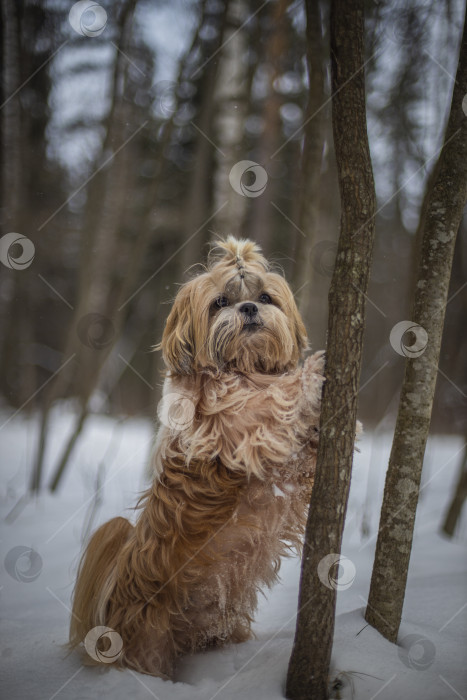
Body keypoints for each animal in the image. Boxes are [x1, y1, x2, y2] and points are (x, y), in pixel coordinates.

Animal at [70, 237, 326, 680]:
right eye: (220, 301)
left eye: (265, 297)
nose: (249, 308)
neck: (244, 367)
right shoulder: (231, 428)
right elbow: (268, 403)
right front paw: (309, 379)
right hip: (150, 643)